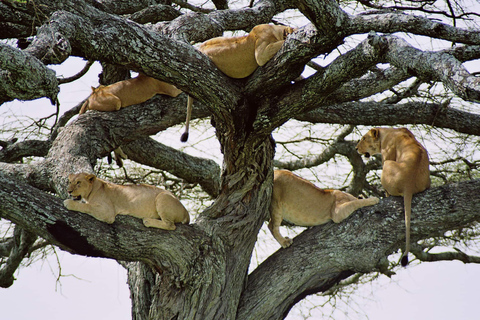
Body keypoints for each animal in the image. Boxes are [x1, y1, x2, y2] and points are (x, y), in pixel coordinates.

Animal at [356, 127, 432, 264]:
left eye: (364, 138)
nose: (356, 148)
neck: (387, 132)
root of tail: (408, 185)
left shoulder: (387, 155)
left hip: (387, 164)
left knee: (388, 192)